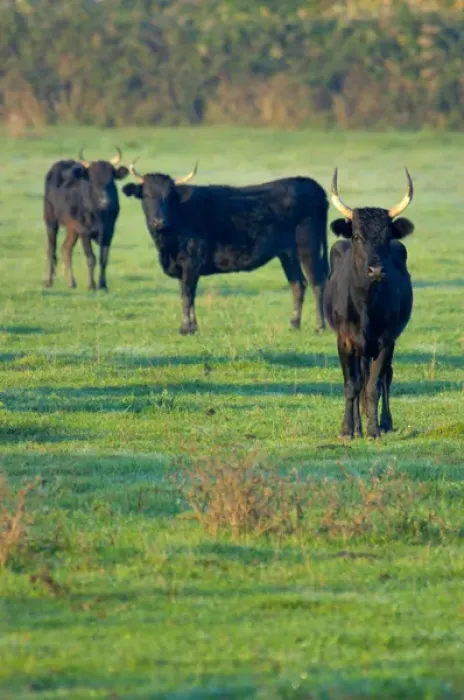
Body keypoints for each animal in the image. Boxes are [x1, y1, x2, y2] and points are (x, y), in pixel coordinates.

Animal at [43, 148, 129, 291]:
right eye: (92, 181)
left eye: (111, 179)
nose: (104, 201)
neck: (99, 214)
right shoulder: (84, 232)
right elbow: (91, 258)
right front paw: (91, 285)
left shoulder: (109, 233)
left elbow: (103, 259)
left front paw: (103, 285)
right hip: (51, 221)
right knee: (51, 250)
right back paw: (48, 281)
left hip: (72, 229)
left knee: (66, 249)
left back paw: (71, 283)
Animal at [122, 161, 329, 335]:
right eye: (146, 195)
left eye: (169, 197)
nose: (159, 221)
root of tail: (310, 183)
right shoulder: (181, 267)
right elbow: (188, 295)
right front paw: (193, 326)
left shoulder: (191, 262)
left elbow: (187, 295)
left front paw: (186, 328)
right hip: (288, 254)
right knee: (298, 284)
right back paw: (294, 324)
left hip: (308, 248)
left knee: (317, 283)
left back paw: (319, 326)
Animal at [324, 168, 414, 439]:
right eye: (357, 235)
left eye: (386, 236)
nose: (376, 270)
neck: (365, 307)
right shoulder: (344, 341)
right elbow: (351, 385)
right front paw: (347, 429)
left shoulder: (387, 341)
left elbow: (374, 384)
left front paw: (374, 429)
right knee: (359, 378)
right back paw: (357, 424)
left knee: (384, 378)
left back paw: (384, 422)